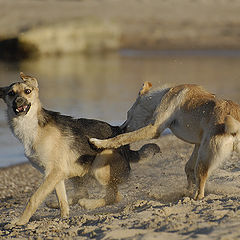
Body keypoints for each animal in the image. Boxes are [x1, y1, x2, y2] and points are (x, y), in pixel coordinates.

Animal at [90, 82, 240, 201]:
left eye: (128, 113)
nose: (121, 128)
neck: (163, 95)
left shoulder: (153, 129)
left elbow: (122, 138)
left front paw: (99, 142)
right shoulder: (199, 144)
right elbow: (188, 168)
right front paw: (187, 189)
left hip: (205, 158)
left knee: (201, 183)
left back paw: (196, 197)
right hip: (207, 152)